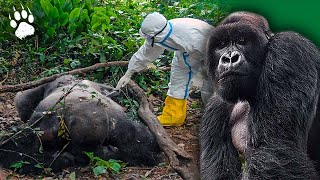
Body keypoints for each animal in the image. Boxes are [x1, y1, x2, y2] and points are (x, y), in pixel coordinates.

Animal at [199, 11, 320, 179]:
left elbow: (273, 148)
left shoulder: (289, 49)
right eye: (221, 44)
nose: (229, 58)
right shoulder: (216, 106)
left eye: (242, 40)